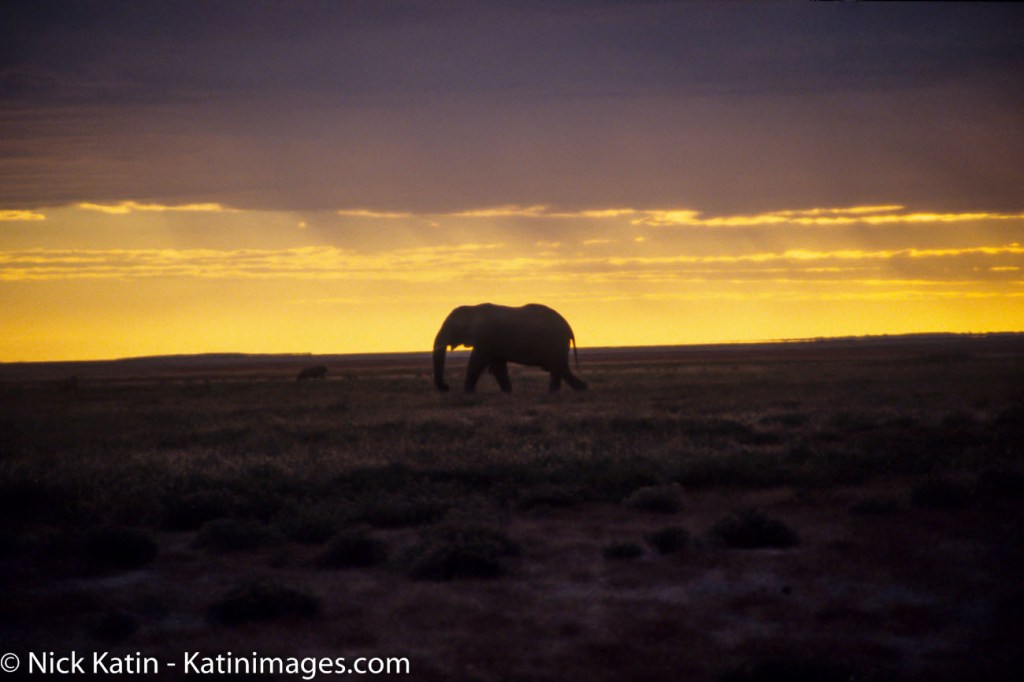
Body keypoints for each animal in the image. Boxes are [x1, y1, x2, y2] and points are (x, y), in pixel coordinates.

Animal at [433, 303, 588, 393]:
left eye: (451, 327)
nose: (446, 387)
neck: (473, 309)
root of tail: (568, 327)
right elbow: (498, 366)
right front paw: (507, 392)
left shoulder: (486, 336)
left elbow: (476, 362)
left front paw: (467, 393)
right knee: (558, 367)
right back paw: (558, 392)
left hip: (555, 342)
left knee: (558, 366)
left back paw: (581, 389)